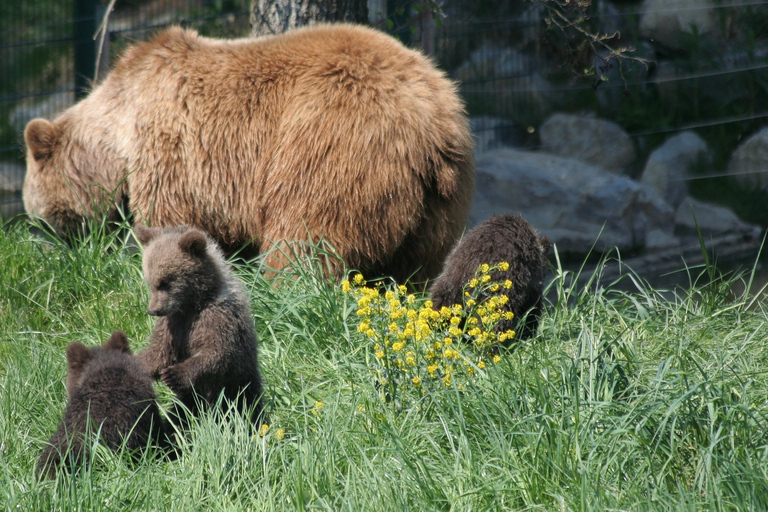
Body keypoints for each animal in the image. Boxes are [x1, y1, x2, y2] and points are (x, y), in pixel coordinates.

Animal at [22, 24, 474, 282]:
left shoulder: (172, 153)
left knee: (305, 238)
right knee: (416, 268)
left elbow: (170, 221)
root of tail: (433, 121)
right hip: (438, 206)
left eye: (37, 213)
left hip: (330, 143)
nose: (47, 244)